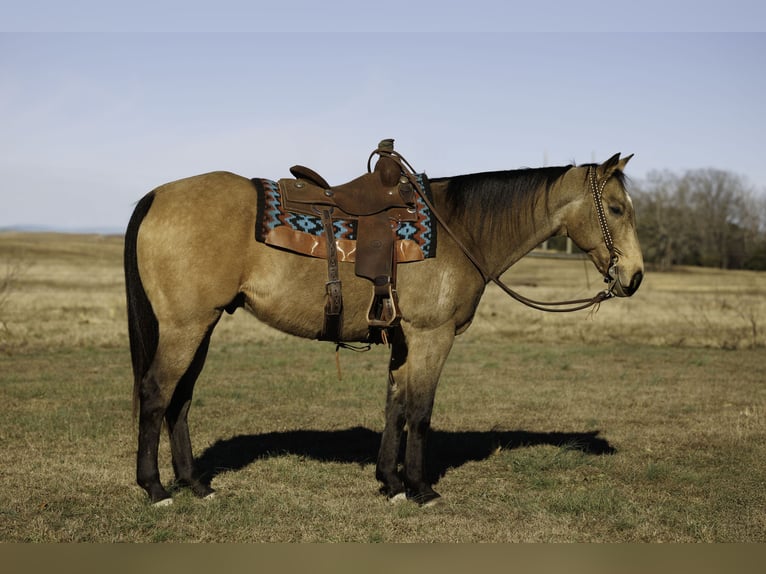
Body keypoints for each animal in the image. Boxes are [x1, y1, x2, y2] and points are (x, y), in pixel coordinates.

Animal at [124, 151, 643, 506]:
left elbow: (395, 406)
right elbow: (420, 410)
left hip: (202, 325)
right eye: (617, 209)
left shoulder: (402, 338)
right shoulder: (432, 335)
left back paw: (195, 483)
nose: (634, 277)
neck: (459, 231)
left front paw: (390, 483)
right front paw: (419, 488)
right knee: (156, 393)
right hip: (185, 327)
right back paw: (155, 488)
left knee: (180, 399)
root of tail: (156, 195)